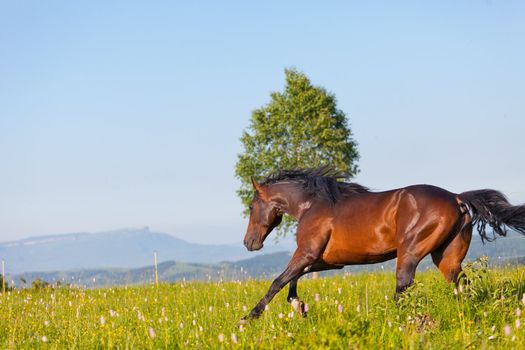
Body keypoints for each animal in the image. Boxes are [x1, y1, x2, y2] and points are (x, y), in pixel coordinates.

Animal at [238, 167, 524, 322]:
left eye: (251, 206)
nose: (249, 243)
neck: (312, 205)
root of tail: (457, 198)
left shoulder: (307, 253)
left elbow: (278, 282)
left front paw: (248, 318)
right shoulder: (326, 260)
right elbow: (292, 281)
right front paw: (300, 307)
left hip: (410, 253)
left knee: (403, 286)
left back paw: (392, 320)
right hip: (447, 259)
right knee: (461, 286)